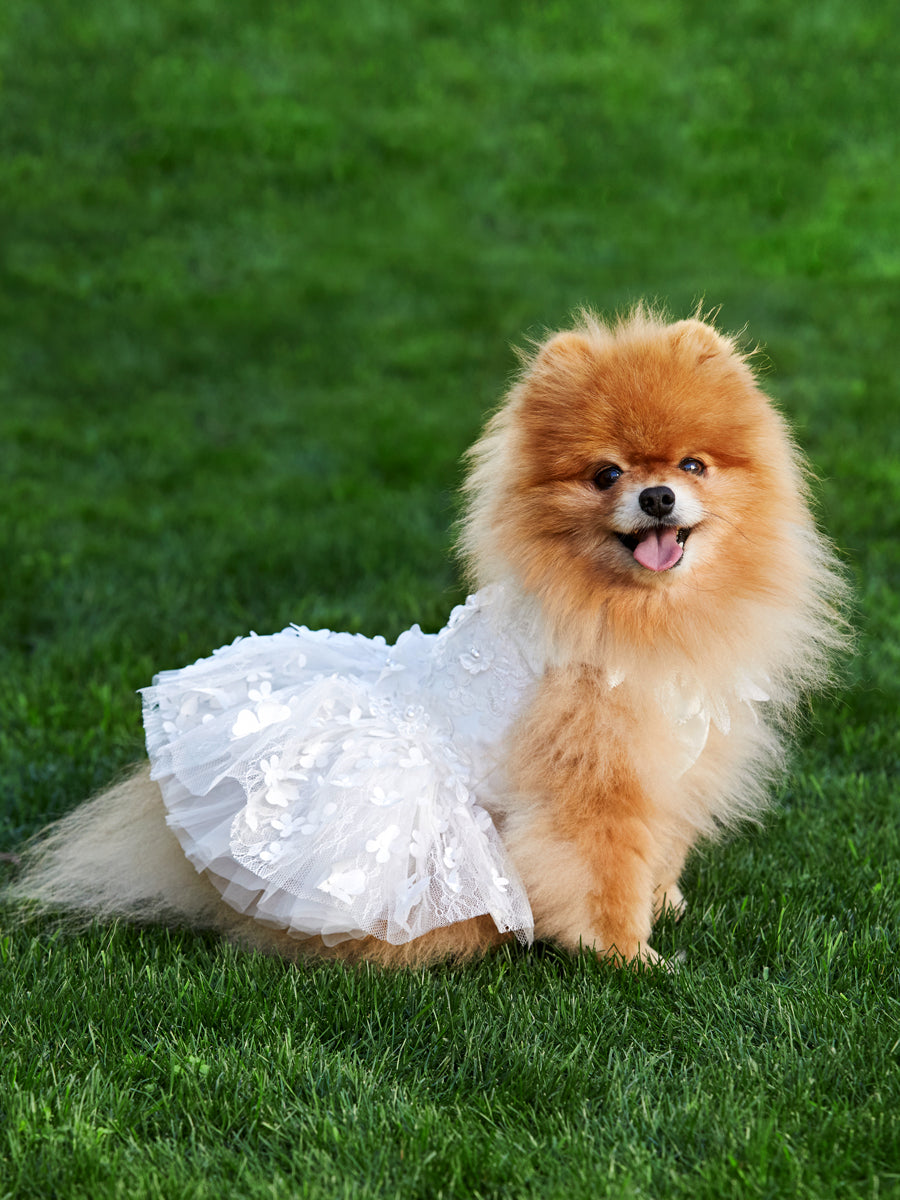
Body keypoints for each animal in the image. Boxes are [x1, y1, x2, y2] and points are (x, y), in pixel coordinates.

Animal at [7, 307, 844, 964]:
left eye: (693, 465)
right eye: (606, 475)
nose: (658, 495)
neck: (636, 615)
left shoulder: (677, 759)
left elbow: (658, 847)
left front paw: (663, 902)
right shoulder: (594, 778)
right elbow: (603, 869)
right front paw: (627, 954)